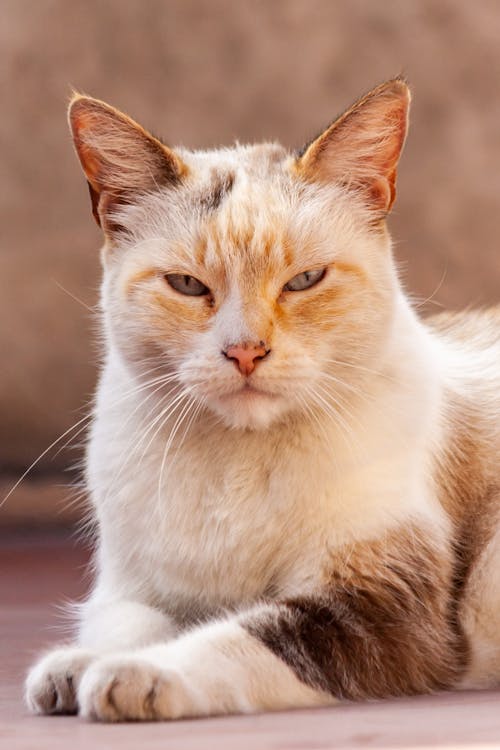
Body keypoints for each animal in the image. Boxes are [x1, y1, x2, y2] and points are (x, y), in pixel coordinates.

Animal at [25, 78, 500, 724]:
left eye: (304, 281)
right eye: (188, 285)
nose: (246, 352)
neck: (237, 460)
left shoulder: (380, 607)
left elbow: (234, 639)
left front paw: (133, 676)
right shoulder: (131, 588)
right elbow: (128, 625)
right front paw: (71, 668)